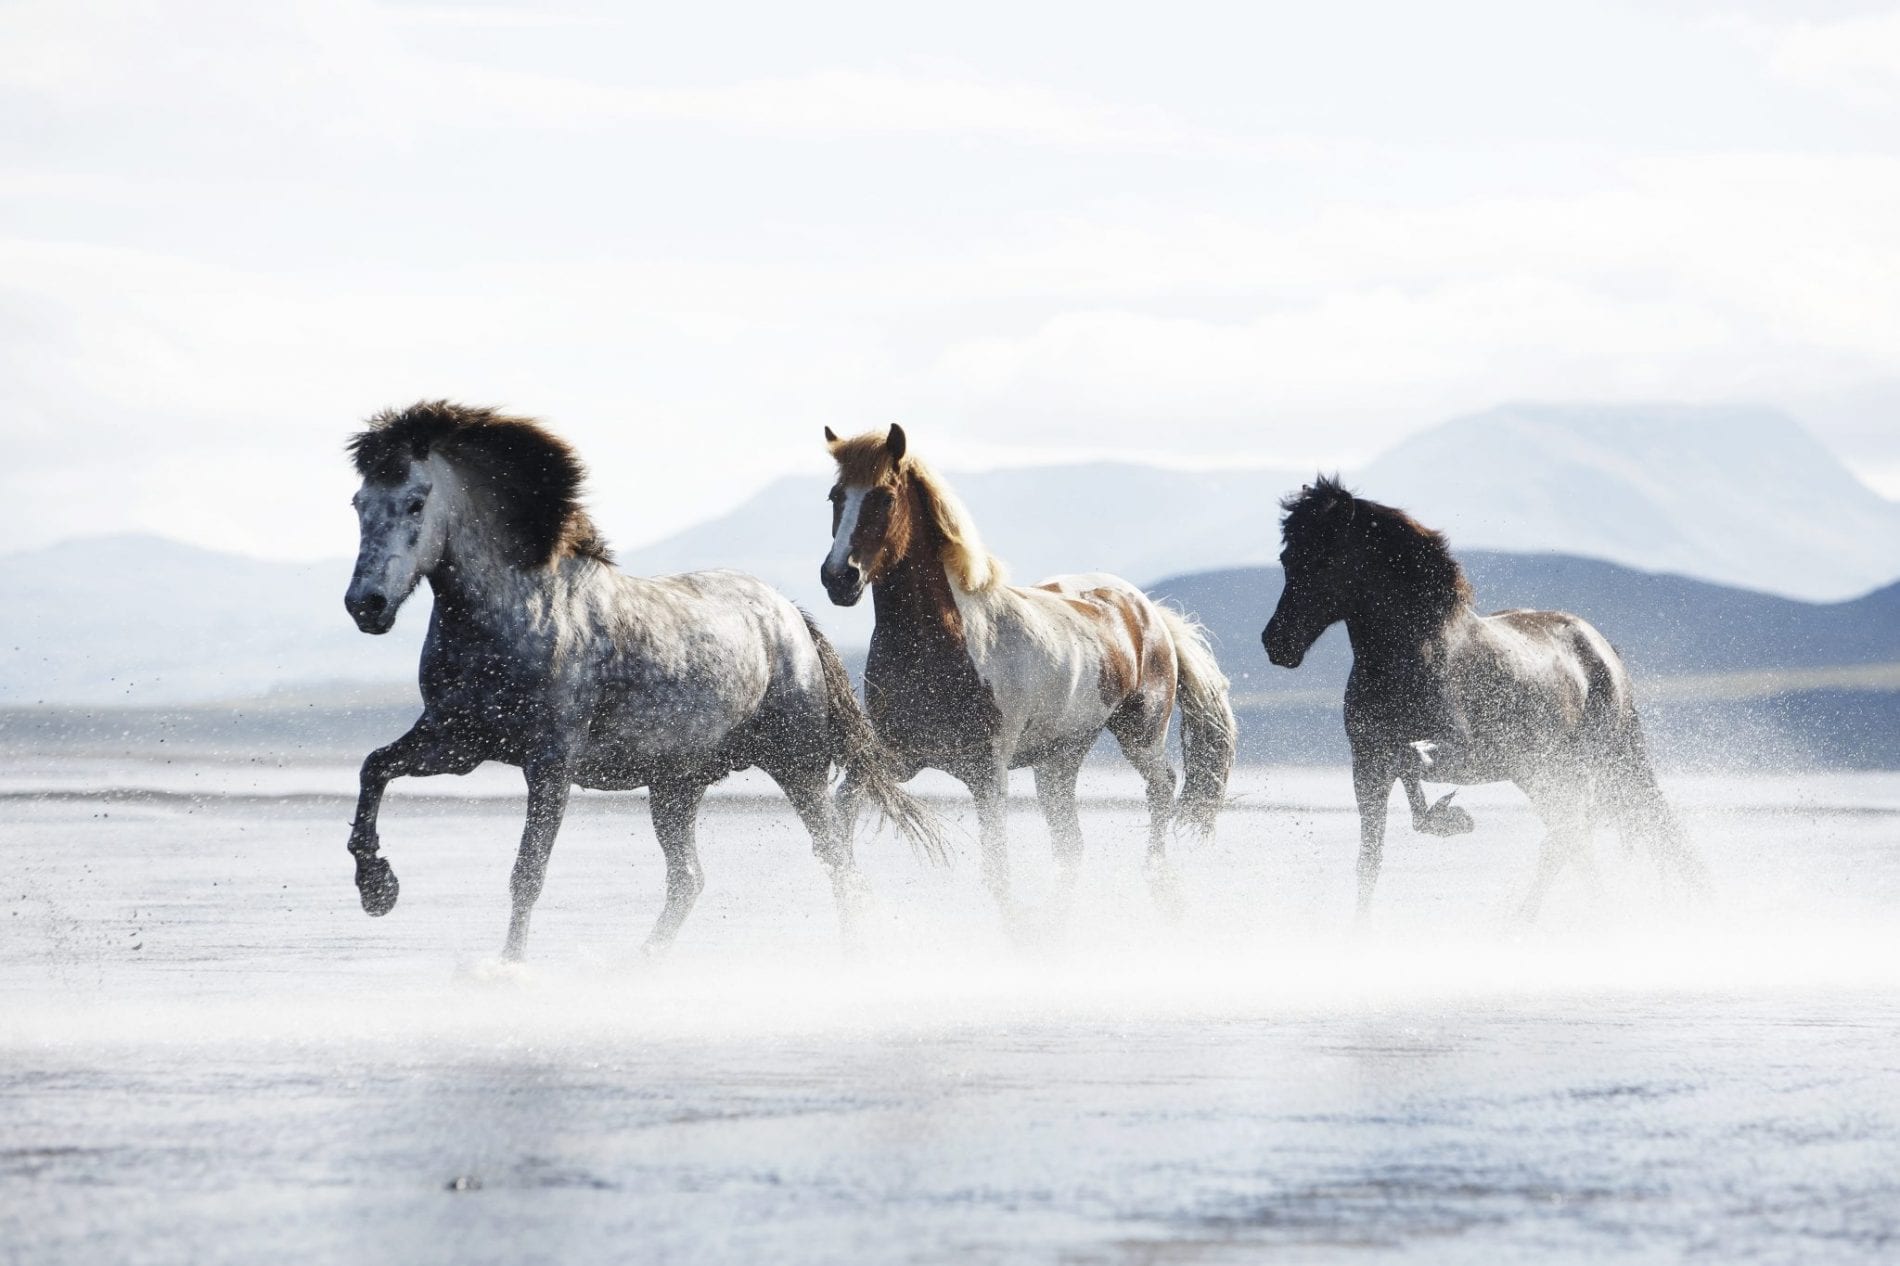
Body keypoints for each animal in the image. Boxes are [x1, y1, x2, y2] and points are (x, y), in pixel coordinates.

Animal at [813, 425, 1231, 916]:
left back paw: (1158, 875)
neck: (941, 646)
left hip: (1140, 735)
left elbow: (997, 873)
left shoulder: (988, 774)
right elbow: (841, 826)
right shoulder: (891, 758)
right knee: (1070, 846)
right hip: (1058, 761)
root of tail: (1148, 611)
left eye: (884, 497)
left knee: (1162, 789)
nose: (839, 577)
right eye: (836, 496)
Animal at [1261, 473, 1710, 916]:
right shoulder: (1366, 766)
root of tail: (1602, 646)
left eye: (1323, 559)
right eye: (1287, 559)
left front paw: (1452, 816)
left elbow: (1413, 760)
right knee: (1571, 837)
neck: (1410, 658)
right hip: (1542, 772)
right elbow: (1370, 861)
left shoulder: (1469, 752)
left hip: (1606, 758)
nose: (1276, 643)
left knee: (1608, 829)